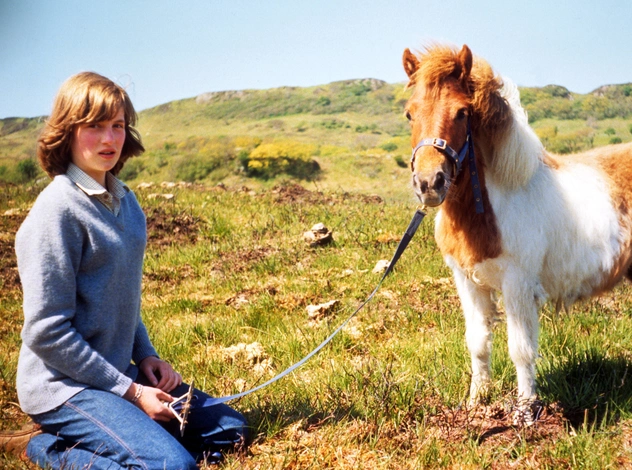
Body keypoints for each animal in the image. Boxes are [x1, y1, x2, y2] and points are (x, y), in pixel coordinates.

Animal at [402, 43, 632, 418]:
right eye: (409, 114)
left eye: (463, 113)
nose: (429, 183)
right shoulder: (467, 281)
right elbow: (478, 342)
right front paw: (475, 404)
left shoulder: (518, 285)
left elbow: (520, 349)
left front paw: (525, 410)